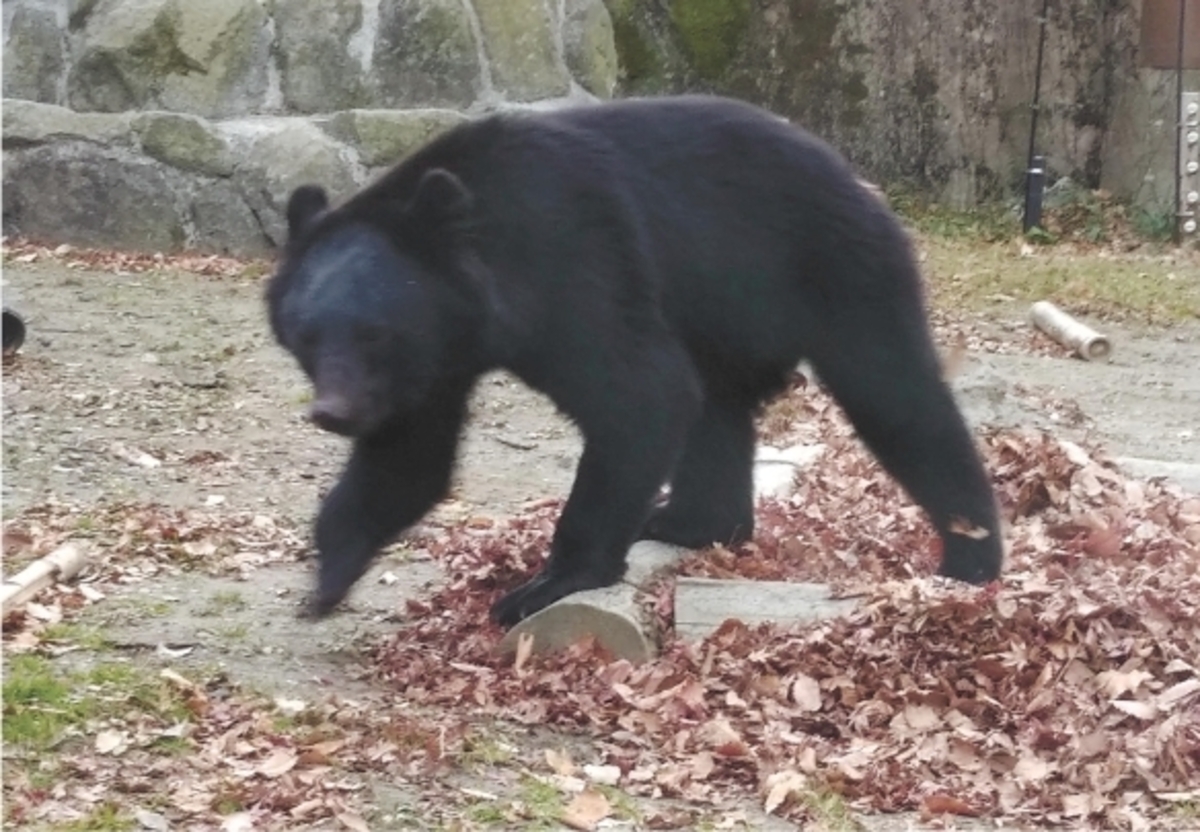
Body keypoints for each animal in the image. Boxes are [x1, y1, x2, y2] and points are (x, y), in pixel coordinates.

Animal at [270, 95, 1003, 624]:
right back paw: (690, 520)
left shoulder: (573, 264)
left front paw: (544, 585)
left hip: (834, 269)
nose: (333, 413)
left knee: (897, 397)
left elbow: (639, 393)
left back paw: (970, 555)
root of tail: (860, 179)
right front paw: (328, 577)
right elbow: (409, 456)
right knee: (717, 413)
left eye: (374, 333)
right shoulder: (434, 363)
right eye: (307, 337)